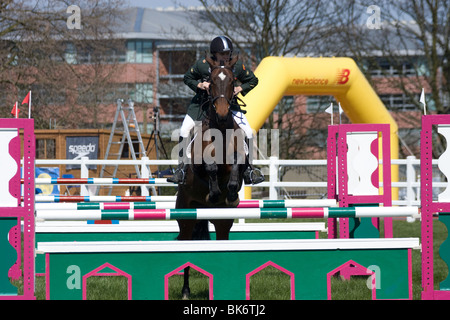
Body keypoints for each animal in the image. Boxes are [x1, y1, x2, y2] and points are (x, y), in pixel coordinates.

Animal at [175, 53, 246, 298]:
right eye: (212, 81)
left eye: (233, 81)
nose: (223, 113)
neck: (221, 130)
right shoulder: (201, 163)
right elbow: (212, 168)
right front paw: (214, 193)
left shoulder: (238, 158)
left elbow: (235, 167)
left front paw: (231, 193)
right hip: (186, 217)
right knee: (185, 250)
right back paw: (185, 291)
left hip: (222, 221)